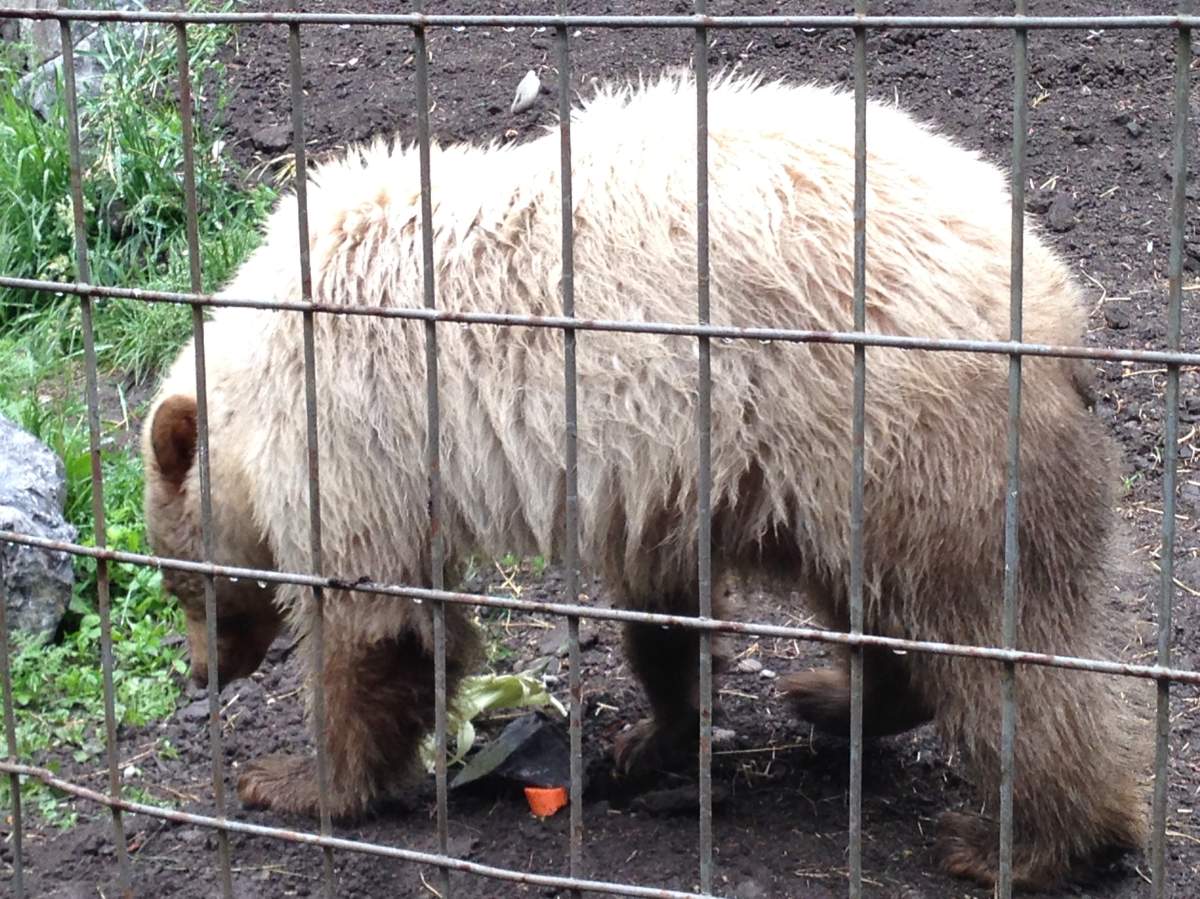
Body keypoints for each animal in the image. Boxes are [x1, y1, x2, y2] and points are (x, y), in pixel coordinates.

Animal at [143, 73, 1148, 889]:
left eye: (180, 582)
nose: (202, 671)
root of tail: (1052, 296)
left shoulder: (358, 428)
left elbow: (378, 628)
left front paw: (295, 780)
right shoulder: (660, 471)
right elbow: (663, 606)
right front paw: (650, 737)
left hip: (906, 433)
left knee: (993, 638)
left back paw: (1033, 841)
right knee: (878, 600)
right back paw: (837, 693)